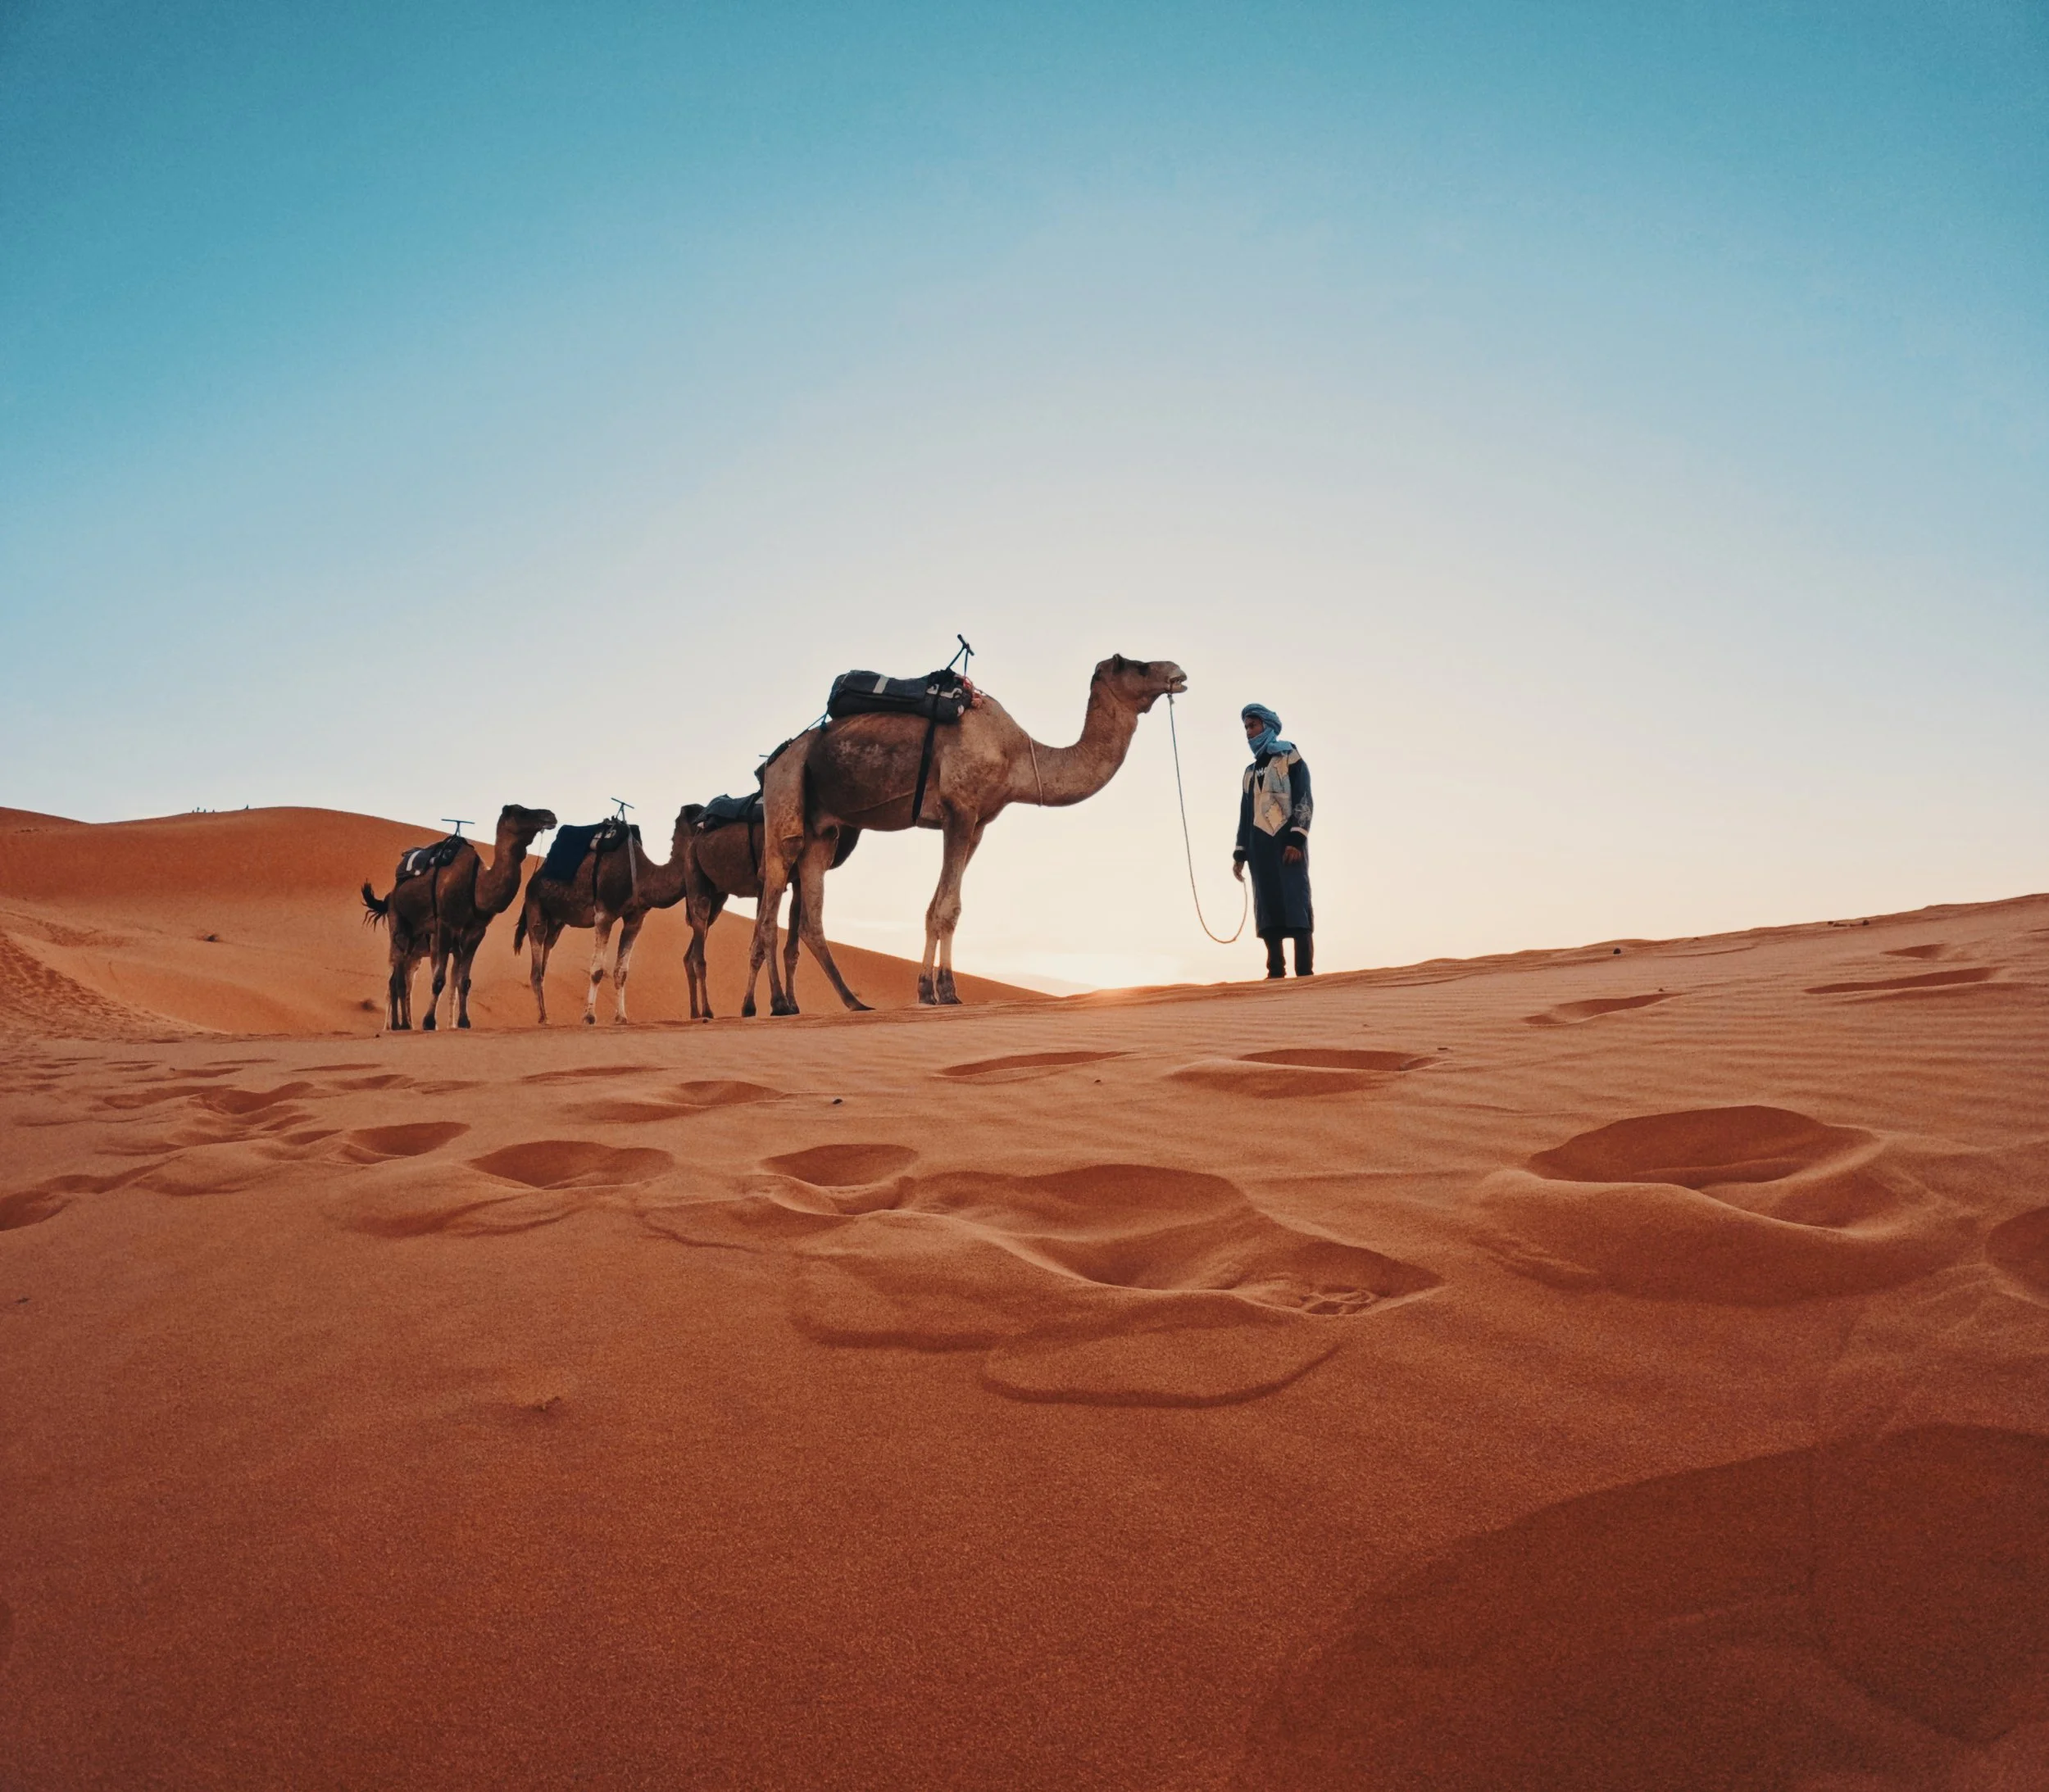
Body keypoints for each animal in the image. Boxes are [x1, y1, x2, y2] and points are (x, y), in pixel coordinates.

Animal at [360, 804, 558, 1030]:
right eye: (522, 811)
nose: (550, 815)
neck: (477, 886)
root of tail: (389, 896)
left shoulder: (477, 931)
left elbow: (464, 982)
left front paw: (463, 1021)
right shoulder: (445, 924)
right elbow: (439, 979)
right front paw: (429, 1022)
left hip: (414, 940)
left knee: (402, 980)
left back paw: (404, 1024)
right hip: (398, 925)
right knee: (397, 980)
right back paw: (399, 1025)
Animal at [515, 806, 697, 1025]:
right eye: (700, 814)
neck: (643, 875)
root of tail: (533, 879)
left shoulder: (635, 920)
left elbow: (621, 972)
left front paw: (622, 1017)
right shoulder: (604, 914)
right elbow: (597, 970)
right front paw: (589, 1016)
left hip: (557, 921)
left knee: (545, 958)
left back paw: (545, 1015)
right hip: (535, 906)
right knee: (536, 963)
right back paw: (543, 1018)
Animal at [747, 653, 1187, 1013]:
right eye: (1138, 666)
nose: (1177, 672)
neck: (1017, 755)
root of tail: (773, 760)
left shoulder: (978, 824)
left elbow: (947, 907)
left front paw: (940, 990)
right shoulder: (959, 811)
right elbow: (943, 908)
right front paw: (934, 991)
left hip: (823, 831)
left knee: (810, 918)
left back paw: (852, 1002)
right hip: (787, 794)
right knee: (770, 909)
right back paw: (777, 1004)